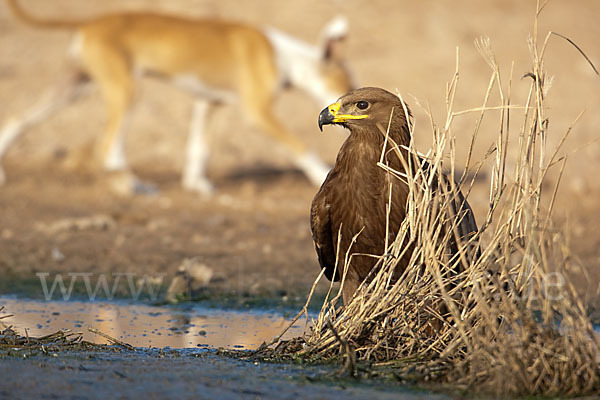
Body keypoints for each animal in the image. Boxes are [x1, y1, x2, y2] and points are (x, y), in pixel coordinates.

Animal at [0, 0, 354, 194]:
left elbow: (198, 149)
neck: (285, 57)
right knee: (108, 147)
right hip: (125, 89)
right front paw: (318, 173)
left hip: (72, 88)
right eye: (348, 86)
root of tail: (90, 22)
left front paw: (197, 185)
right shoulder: (257, 112)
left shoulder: (207, 103)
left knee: (16, 120)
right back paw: (133, 185)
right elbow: (300, 147)